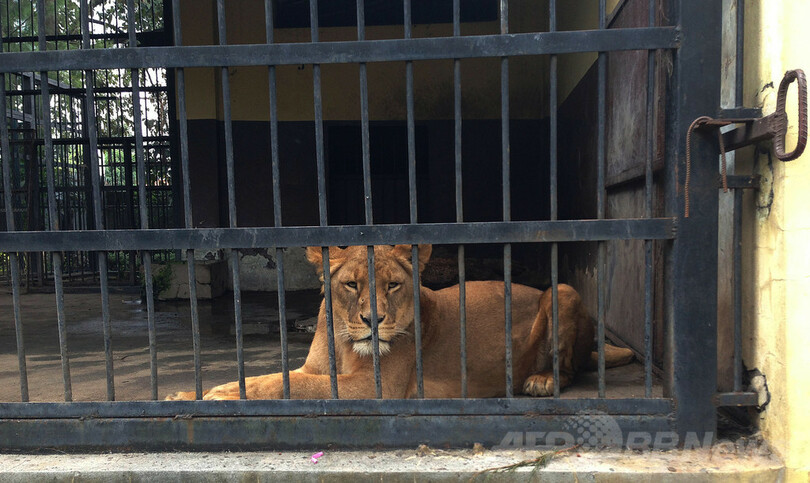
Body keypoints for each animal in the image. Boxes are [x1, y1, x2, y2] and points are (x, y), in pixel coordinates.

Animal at [164, 246, 632, 400]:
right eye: (351, 284)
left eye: (392, 284)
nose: (374, 321)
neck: (343, 340)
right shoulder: (314, 368)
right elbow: (271, 376)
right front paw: (191, 393)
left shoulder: (373, 387)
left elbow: (285, 384)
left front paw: (217, 395)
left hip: (562, 291)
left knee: (571, 368)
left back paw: (541, 380)